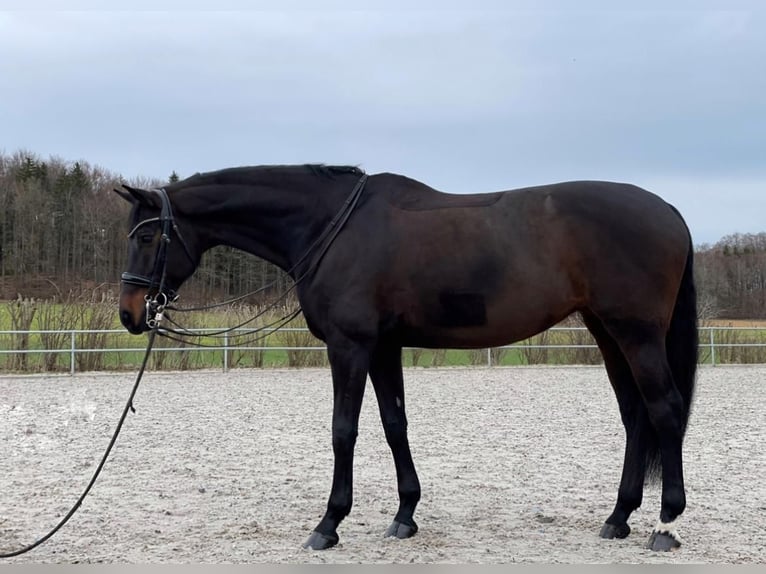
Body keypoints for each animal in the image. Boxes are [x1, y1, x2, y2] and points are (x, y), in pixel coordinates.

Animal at [117, 165, 700, 552]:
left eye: (147, 236)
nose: (130, 313)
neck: (331, 226)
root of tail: (669, 211)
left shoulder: (350, 346)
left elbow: (344, 430)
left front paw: (329, 524)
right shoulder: (383, 347)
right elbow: (394, 423)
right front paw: (405, 514)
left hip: (637, 334)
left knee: (665, 410)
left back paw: (666, 524)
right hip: (607, 331)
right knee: (635, 416)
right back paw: (619, 516)